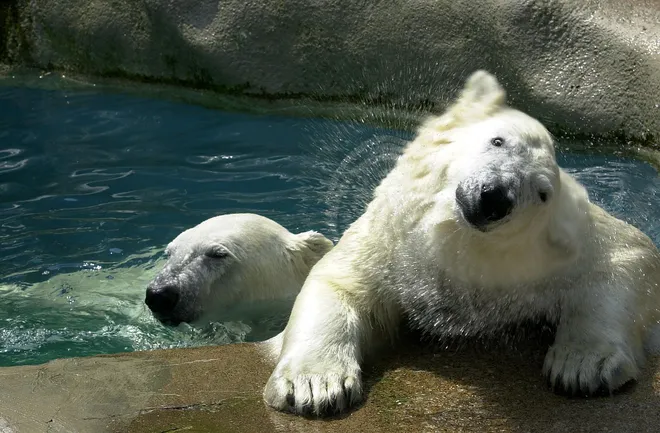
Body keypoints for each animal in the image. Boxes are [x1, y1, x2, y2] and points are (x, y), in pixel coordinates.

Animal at [262, 70, 660, 416]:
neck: (458, 242)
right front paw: (314, 385)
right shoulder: (390, 244)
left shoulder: (557, 252)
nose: (495, 197)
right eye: (498, 140)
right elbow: (339, 282)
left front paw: (583, 364)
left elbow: (624, 256)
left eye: (542, 193)